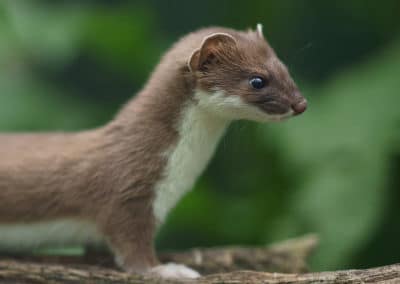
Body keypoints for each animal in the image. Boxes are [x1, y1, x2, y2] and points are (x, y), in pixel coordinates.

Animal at [0, 24, 306, 278]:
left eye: (285, 68)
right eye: (257, 80)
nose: (301, 104)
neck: (179, 172)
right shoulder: (128, 192)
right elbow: (131, 246)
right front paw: (169, 269)